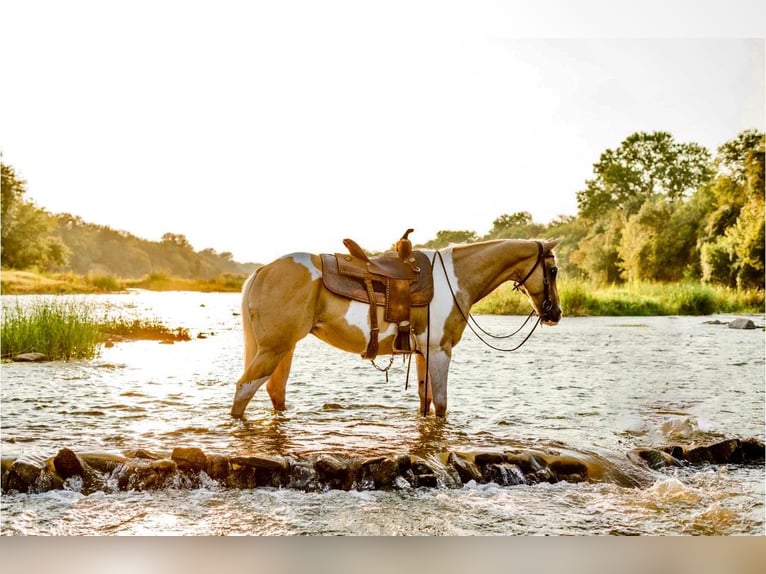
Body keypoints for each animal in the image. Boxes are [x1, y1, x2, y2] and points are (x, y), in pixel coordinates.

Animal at [231, 236, 560, 420]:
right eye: (554, 270)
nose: (555, 313)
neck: (455, 279)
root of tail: (262, 270)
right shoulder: (440, 352)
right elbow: (441, 406)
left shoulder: (423, 353)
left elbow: (426, 401)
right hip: (274, 349)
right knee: (244, 390)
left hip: (283, 349)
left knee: (275, 391)